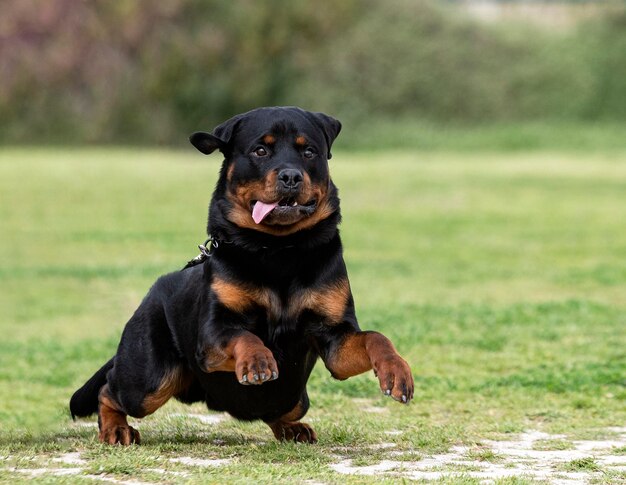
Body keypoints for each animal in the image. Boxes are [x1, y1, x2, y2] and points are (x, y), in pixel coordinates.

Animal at [70, 105, 412, 442]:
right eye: (260, 150)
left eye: (309, 152)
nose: (291, 176)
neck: (279, 249)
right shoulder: (212, 334)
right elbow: (243, 335)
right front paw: (257, 359)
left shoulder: (334, 339)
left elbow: (375, 337)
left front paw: (396, 370)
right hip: (149, 379)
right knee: (109, 389)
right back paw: (116, 429)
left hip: (294, 399)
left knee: (276, 411)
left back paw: (292, 428)